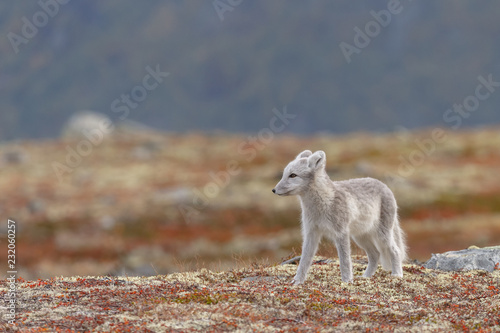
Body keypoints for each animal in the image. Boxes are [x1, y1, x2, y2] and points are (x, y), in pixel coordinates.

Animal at [274, 150, 406, 282]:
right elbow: (304, 260)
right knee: (375, 254)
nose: (273, 190)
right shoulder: (311, 233)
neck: (321, 205)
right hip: (360, 237)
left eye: (293, 175)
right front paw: (297, 281)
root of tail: (385, 186)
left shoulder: (341, 233)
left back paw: (397, 274)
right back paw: (365, 277)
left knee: (395, 251)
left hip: (382, 235)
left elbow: (345, 261)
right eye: (284, 174)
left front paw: (347, 281)